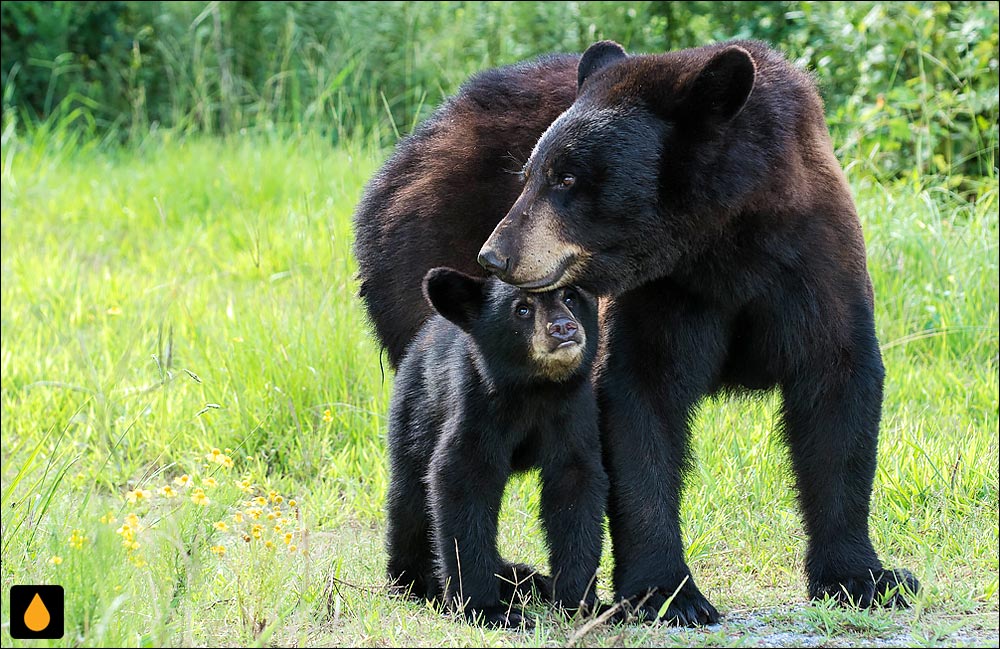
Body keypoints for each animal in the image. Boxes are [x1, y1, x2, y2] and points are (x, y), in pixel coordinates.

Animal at [384, 268, 604, 628]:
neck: (534, 388)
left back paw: (526, 580)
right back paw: (415, 582)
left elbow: (575, 487)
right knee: (409, 502)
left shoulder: (573, 410)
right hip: (413, 418)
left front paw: (582, 602)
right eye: (522, 309)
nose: (563, 328)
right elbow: (461, 479)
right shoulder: (478, 404)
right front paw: (488, 609)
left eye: (570, 296)